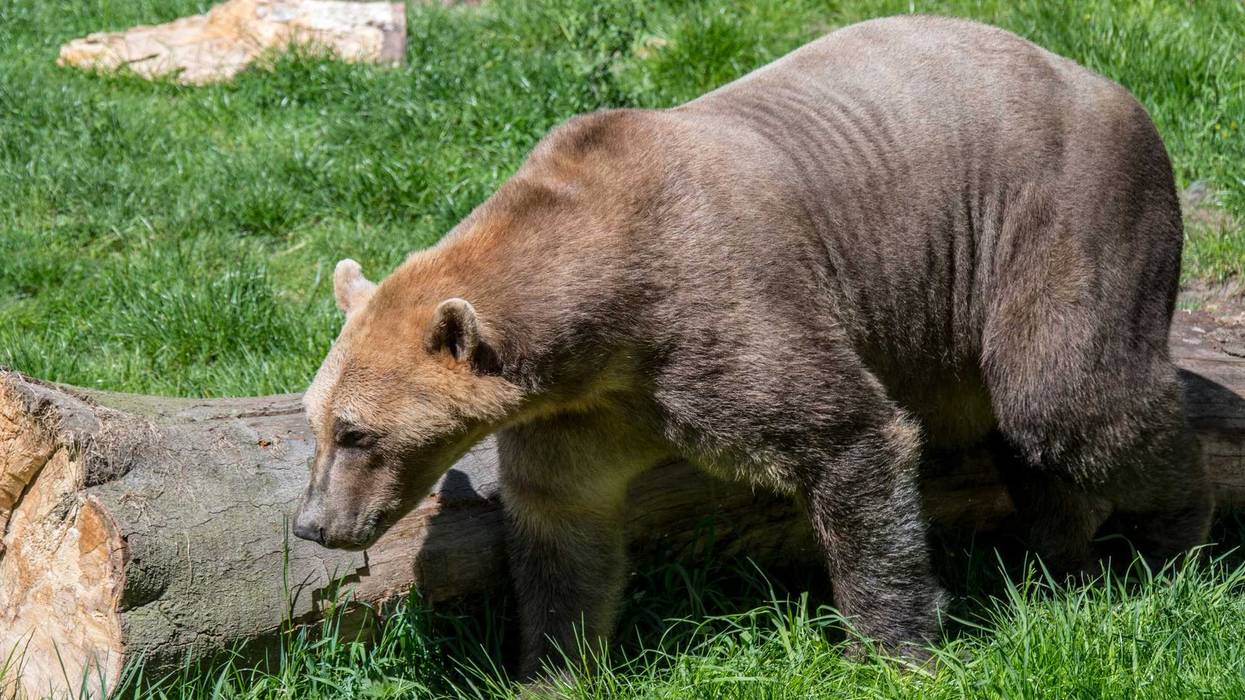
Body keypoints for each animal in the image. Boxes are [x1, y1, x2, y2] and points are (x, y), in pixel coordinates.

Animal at [293, 14, 1212, 677]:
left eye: (357, 432)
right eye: (316, 424)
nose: (313, 524)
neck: (604, 313)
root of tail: (1108, 84)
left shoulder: (721, 314)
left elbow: (849, 438)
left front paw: (889, 648)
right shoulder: (583, 410)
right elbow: (563, 527)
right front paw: (551, 664)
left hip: (1059, 216)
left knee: (1070, 404)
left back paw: (1164, 541)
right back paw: (1058, 553)